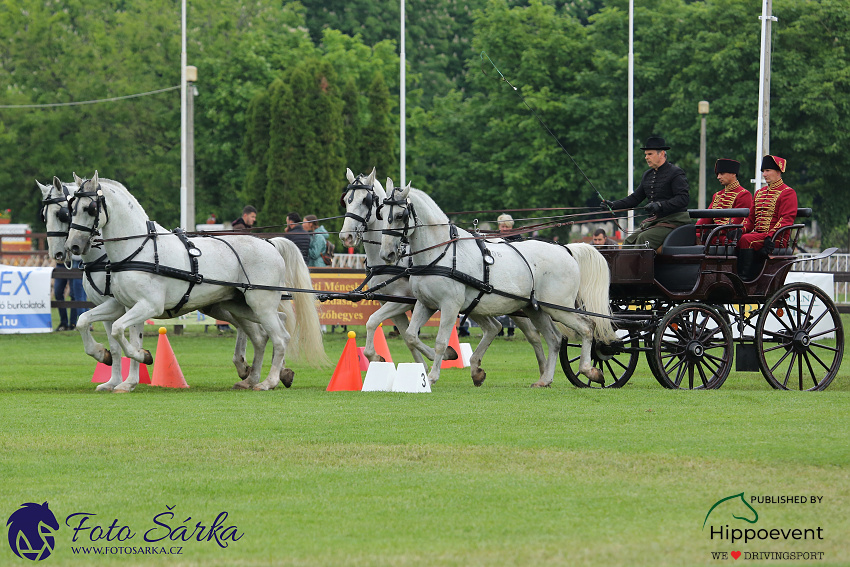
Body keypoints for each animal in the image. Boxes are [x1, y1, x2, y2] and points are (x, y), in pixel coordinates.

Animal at [63, 172, 324, 390]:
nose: (72, 246)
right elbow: (86, 322)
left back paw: (268, 381)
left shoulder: (148, 306)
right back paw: (253, 378)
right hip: (241, 305)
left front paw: (142, 357)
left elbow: (118, 331)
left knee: (280, 337)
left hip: (261, 303)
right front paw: (117, 367)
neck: (138, 250)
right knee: (264, 334)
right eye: (70, 210)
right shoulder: (125, 305)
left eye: (89, 208)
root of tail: (269, 243)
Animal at [338, 166, 544, 384]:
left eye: (366, 200)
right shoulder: (390, 302)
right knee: (493, 327)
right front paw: (405, 365)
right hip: (478, 305)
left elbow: (376, 323)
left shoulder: (403, 301)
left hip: (512, 304)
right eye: (347, 201)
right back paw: (477, 370)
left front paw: (442, 357)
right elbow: (403, 335)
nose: (346, 236)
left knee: (532, 334)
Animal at [380, 180, 612, 388]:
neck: (440, 254)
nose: (387, 254)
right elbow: (411, 336)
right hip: (535, 308)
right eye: (381, 214)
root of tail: (565, 249)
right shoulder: (425, 303)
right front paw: (447, 359)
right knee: (554, 339)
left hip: (559, 307)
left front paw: (432, 376)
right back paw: (545, 379)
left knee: (587, 327)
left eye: (400, 216)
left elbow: (440, 342)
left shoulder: (450, 306)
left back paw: (589, 370)